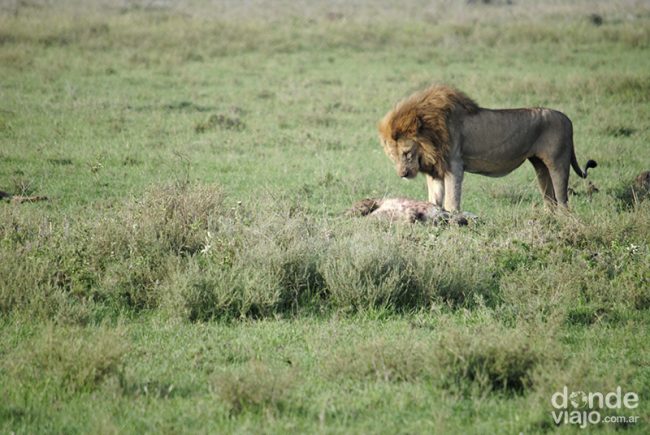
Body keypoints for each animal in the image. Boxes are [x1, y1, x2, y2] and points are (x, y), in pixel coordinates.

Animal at [378, 85, 596, 211]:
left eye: (406, 153)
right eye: (392, 157)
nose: (403, 174)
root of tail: (568, 119)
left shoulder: (454, 165)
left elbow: (451, 201)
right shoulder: (435, 170)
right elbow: (434, 200)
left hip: (558, 161)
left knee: (563, 200)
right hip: (540, 165)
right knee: (550, 200)